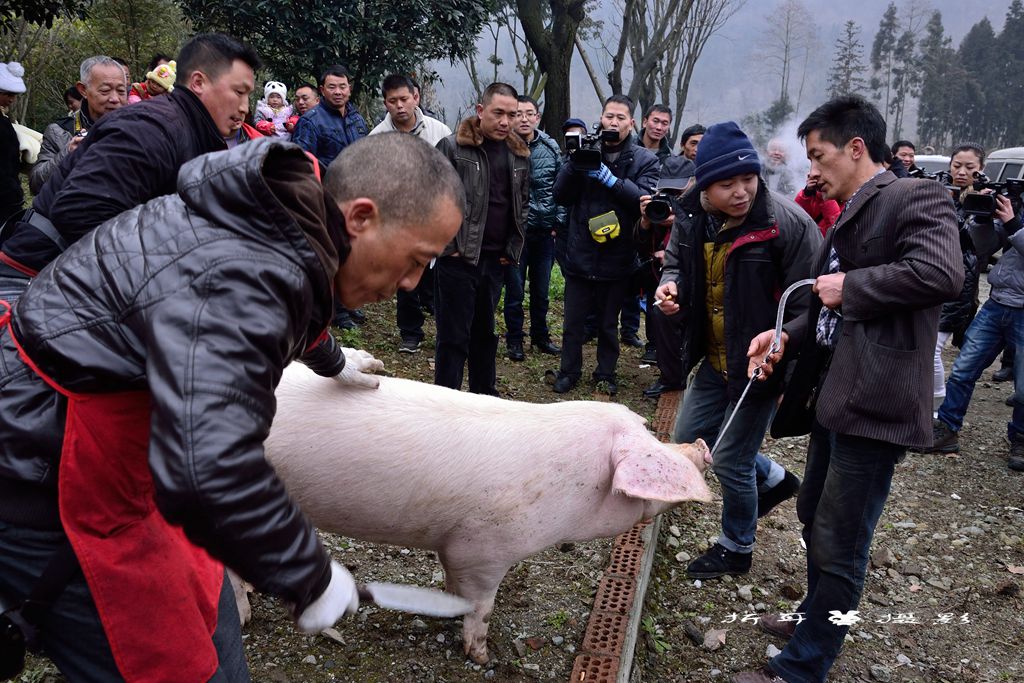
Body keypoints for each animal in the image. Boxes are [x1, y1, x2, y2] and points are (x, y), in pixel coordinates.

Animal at [264, 362, 712, 663]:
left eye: (645, 425)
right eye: (647, 438)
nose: (701, 444)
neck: (568, 489)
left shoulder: (452, 546)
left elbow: (452, 585)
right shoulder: (481, 548)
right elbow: (481, 605)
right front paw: (481, 656)